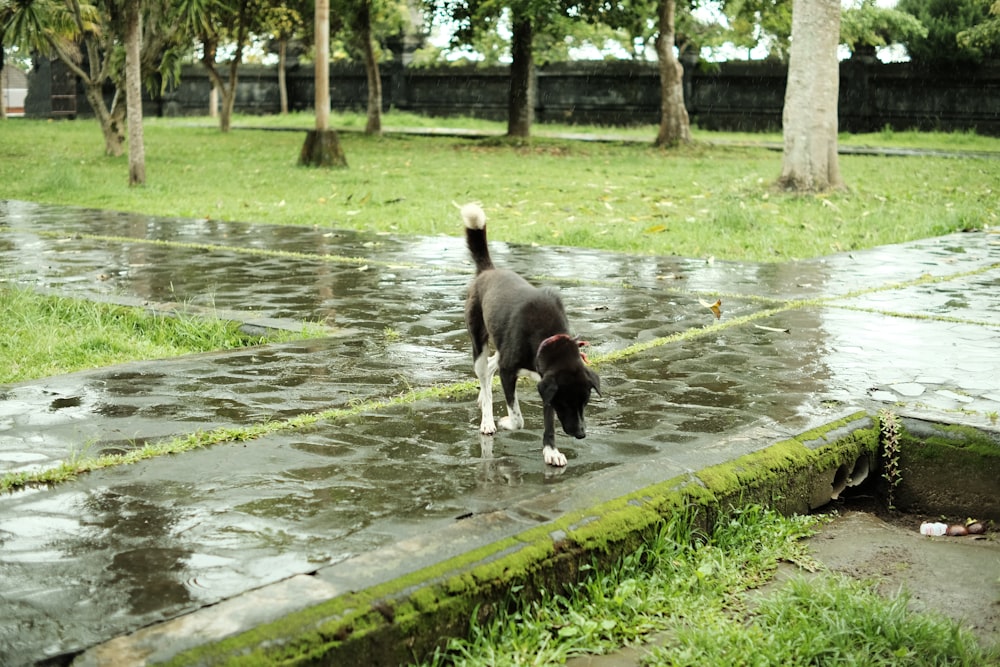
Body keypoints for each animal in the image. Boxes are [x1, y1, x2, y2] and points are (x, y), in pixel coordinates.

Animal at [462, 201, 600, 468]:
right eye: (565, 402)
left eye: (585, 401)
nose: (581, 434)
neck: (548, 338)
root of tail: (488, 271)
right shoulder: (510, 372)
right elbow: (518, 418)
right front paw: (505, 421)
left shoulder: (545, 380)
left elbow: (548, 421)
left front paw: (551, 451)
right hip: (478, 342)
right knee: (484, 373)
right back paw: (487, 419)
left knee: (491, 366)